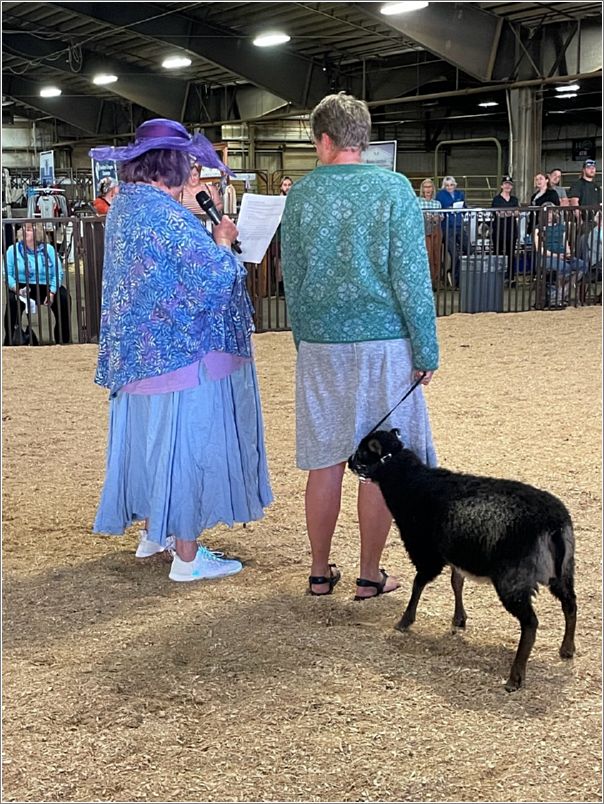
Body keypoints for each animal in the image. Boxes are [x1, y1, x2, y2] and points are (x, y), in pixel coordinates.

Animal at [350, 430, 576, 696]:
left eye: (363, 451)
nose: (349, 461)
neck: (409, 482)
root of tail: (553, 524)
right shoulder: (455, 554)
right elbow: (456, 582)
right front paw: (459, 618)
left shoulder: (426, 552)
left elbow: (418, 584)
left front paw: (405, 620)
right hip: (563, 570)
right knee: (570, 604)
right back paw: (567, 648)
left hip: (514, 578)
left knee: (530, 623)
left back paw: (515, 677)